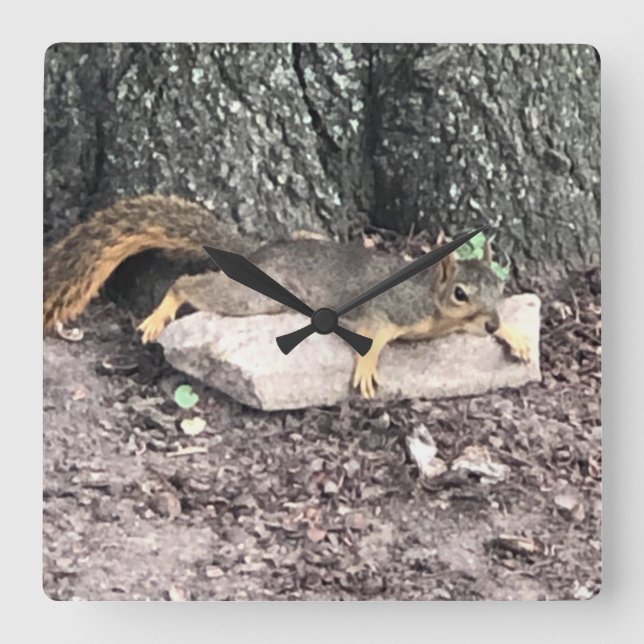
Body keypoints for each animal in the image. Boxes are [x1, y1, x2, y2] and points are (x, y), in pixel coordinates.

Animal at [44, 194, 532, 398]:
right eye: (460, 293)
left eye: (499, 287)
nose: (491, 319)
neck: (433, 301)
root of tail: (258, 252)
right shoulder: (392, 309)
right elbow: (372, 334)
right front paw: (367, 367)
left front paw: (514, 334)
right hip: (254, 298)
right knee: (187, 284)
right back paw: (158, 315)